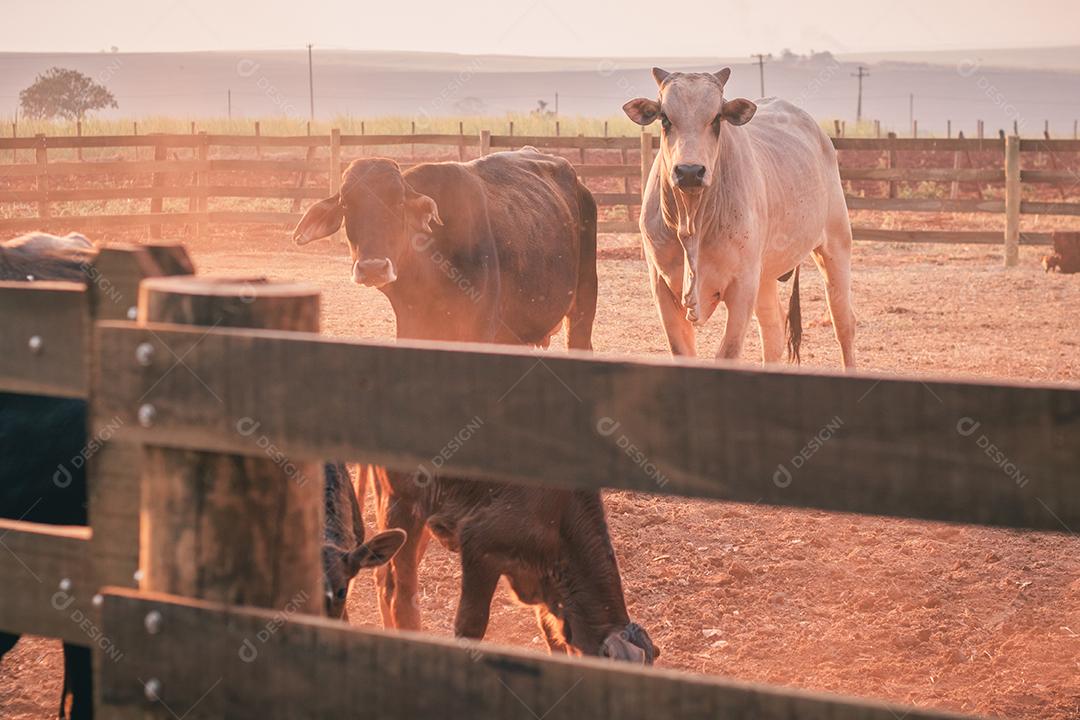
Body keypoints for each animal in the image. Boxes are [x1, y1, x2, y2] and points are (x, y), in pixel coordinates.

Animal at [623, 68, 856, 369]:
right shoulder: (661, 285)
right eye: (665, 118)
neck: (692, 221)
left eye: (716, 118)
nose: (689, 171)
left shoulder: (742, 285)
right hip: (765, 274)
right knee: (773, 329)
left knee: (844, 324)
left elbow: (729, 352)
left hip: (835, 245)